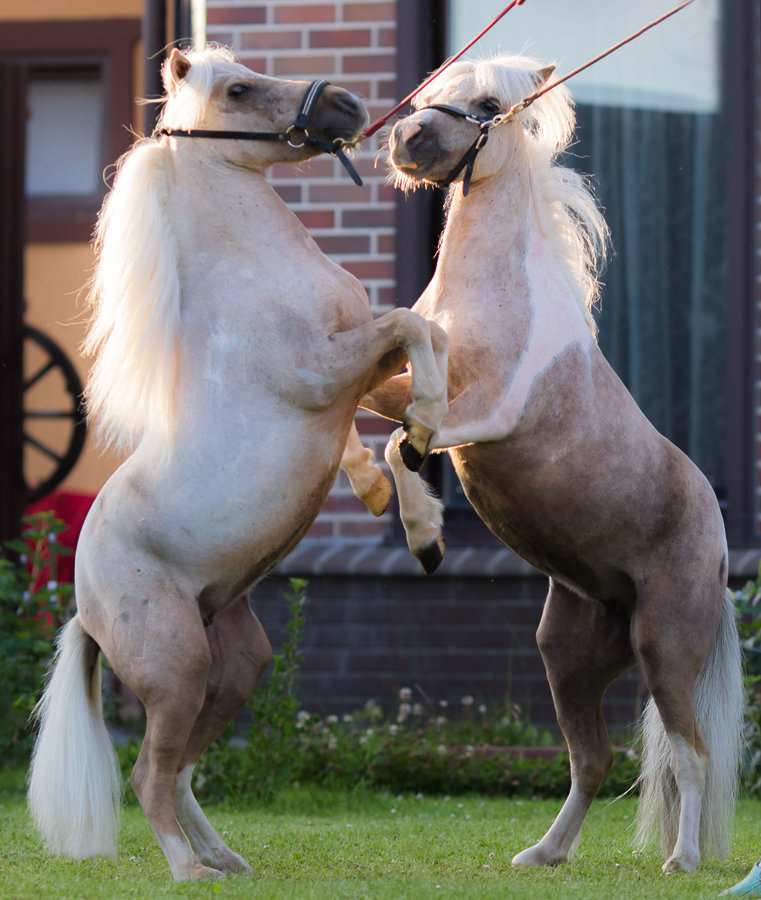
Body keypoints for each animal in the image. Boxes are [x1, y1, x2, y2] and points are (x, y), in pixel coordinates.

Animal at [28, 47, 446, 880]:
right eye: (240, 89)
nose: (349, 106)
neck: (253, 281)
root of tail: (85, 607)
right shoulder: (325, 374)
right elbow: (412, 328)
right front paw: (416, 474)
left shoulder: (357, 374)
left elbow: (404, 384)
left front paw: (411, 507)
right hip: (176, 665)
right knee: (149, 774)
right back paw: (188, 871)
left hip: (235, 661)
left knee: (184, 769)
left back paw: (225, 860)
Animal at [362, 52, 744, 876]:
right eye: (434, 89)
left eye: (485, 104)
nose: (406, 140)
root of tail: (722, 555)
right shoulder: (404, 383)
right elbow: (379, 412)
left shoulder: (488, 417)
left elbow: (406, 440)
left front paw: (427, 538)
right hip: (567, 656)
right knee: (592, 759)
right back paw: (542, 853)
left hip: (665, 650)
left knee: (691, 755)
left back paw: (682, 861)